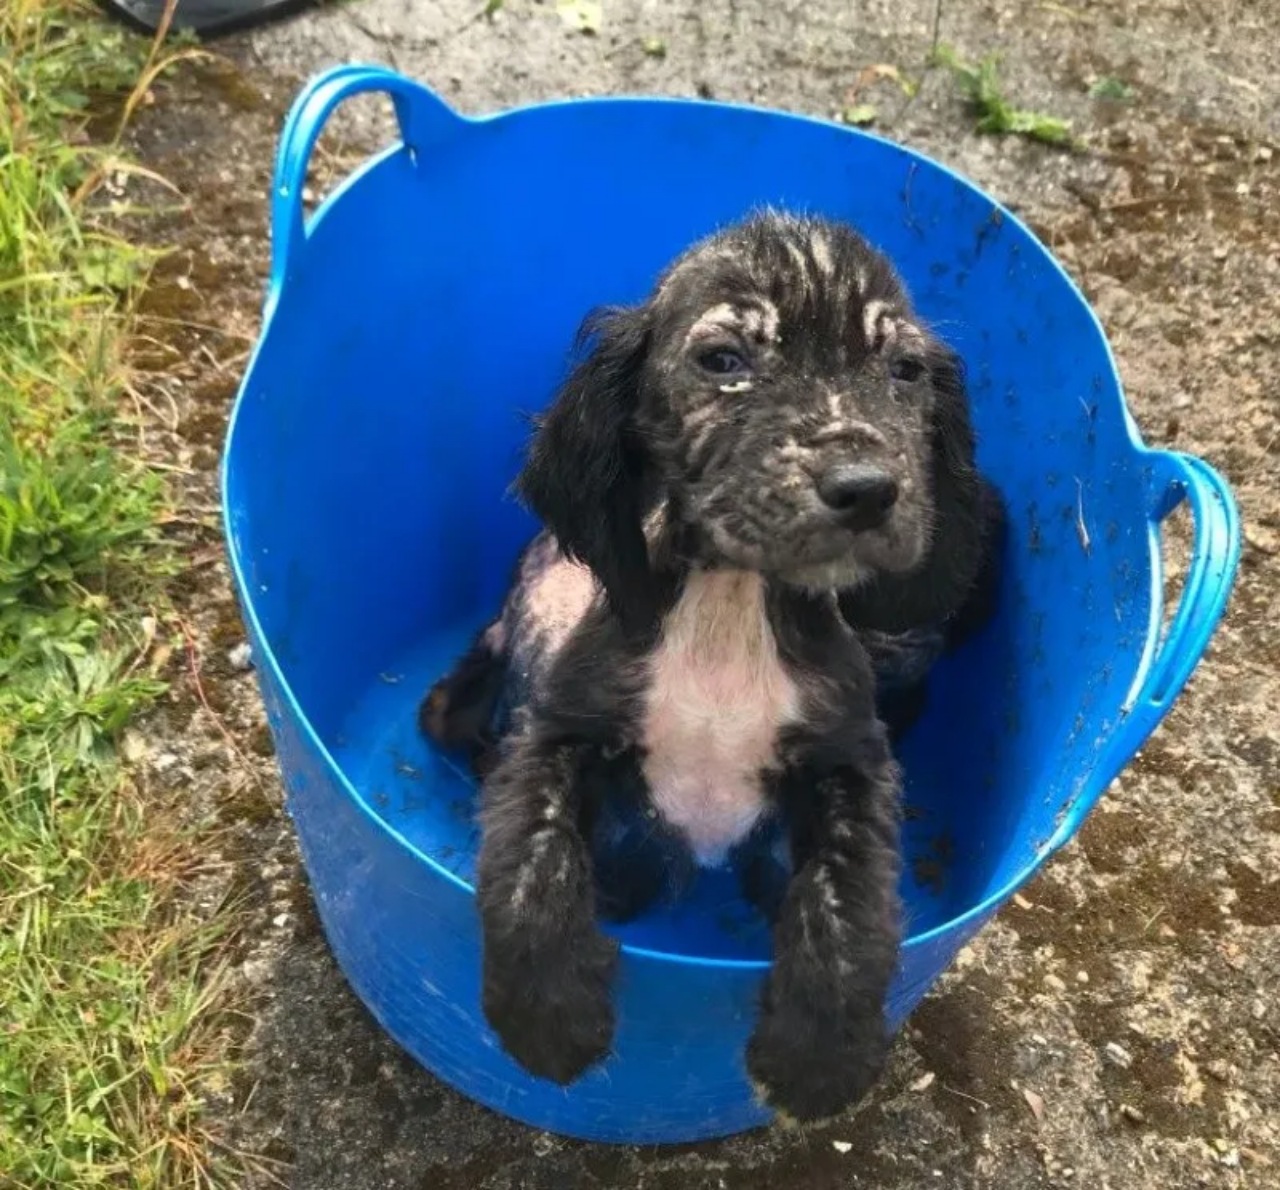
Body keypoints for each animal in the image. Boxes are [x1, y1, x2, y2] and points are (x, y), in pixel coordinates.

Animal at [417, 211, 998, 1115]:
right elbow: (532, 857)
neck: (733, 605)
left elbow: (848, 898)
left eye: (903, 371)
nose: (868, 487)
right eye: (723, 360)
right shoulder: (560, 728)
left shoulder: (852, 760)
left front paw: (819, 1054)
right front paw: (548, 1017)